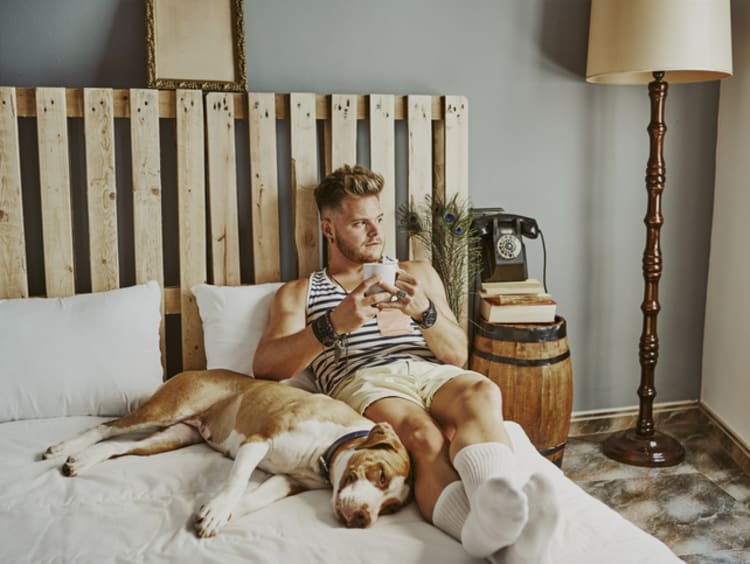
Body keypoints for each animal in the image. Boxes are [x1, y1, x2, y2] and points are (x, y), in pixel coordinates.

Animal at [44, 370, 414, 536]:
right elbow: (236, 483)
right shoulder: (258, 441)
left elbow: (253, 499)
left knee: (118, 447)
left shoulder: (286, 481)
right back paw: (65, 448)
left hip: (172, 436)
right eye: (381, 475)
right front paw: (220, 510)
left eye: (392, 508)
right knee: (107, 427)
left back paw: (82, 460)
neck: (328, 447)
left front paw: (217, 515)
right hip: (167, 409)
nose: (364, 519)